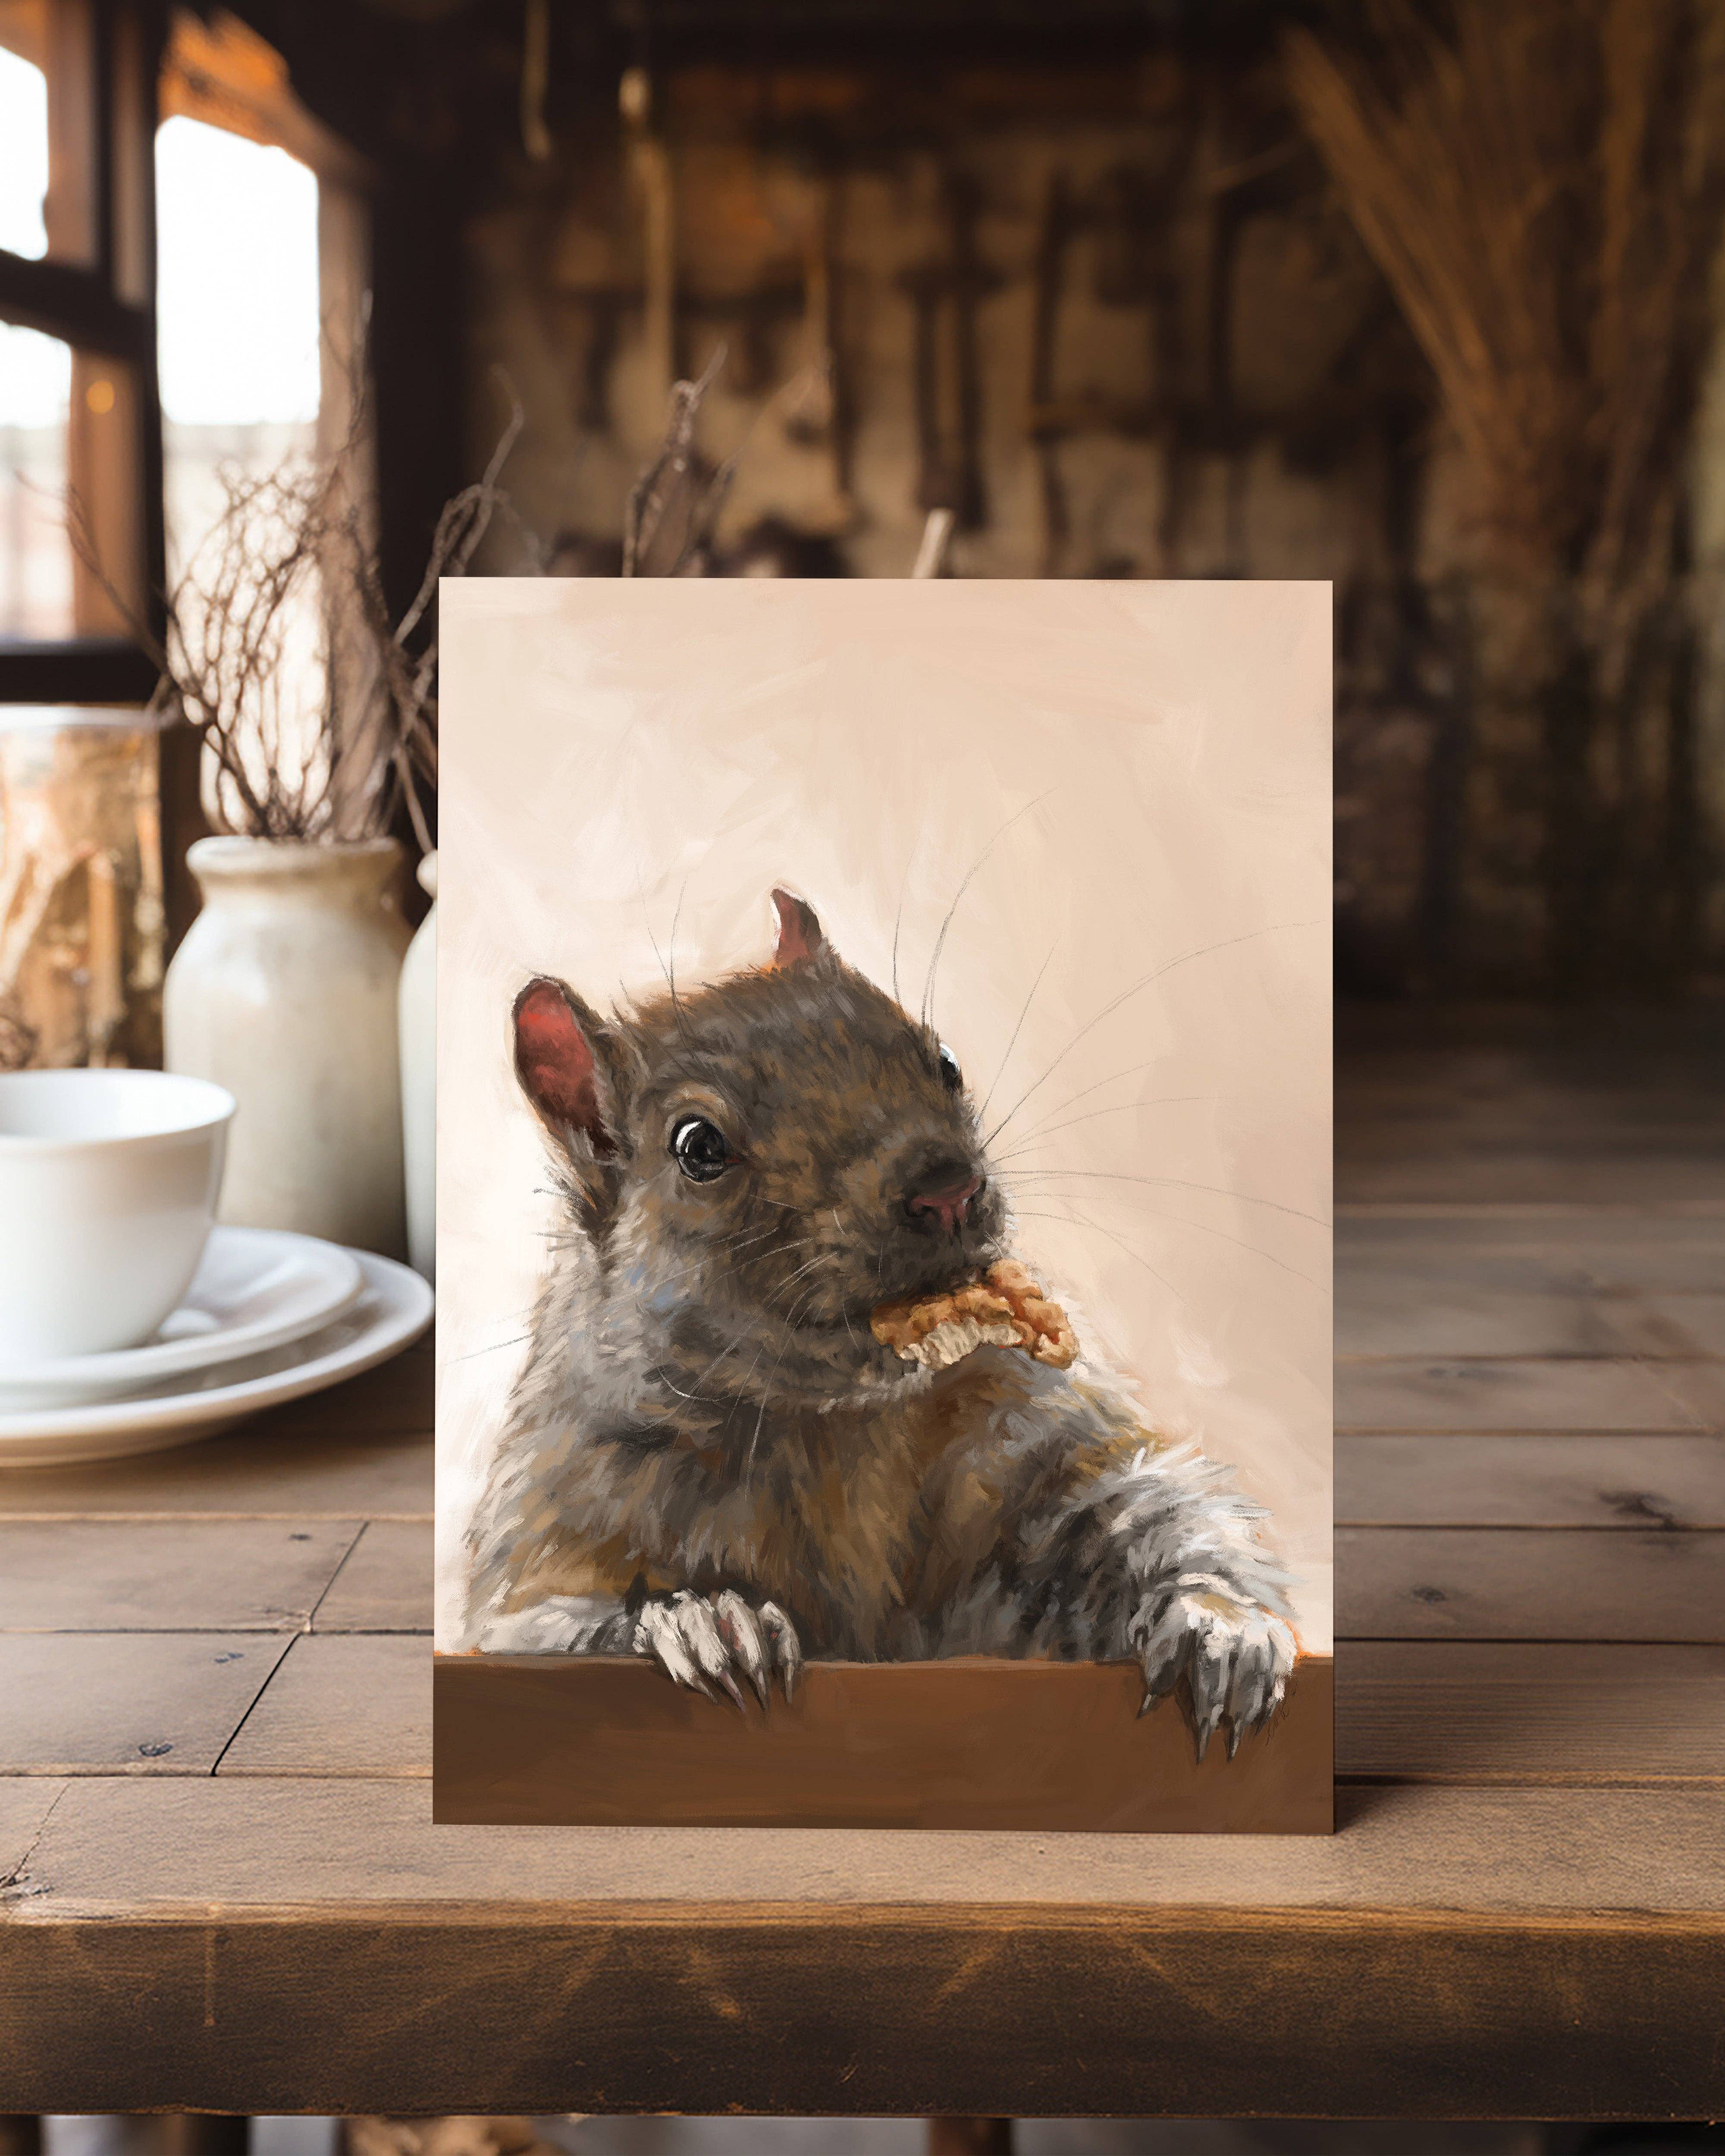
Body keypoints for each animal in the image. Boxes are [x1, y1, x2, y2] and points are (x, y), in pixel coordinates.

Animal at [466, 887, 1297, 1758]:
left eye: (946, 1061)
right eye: (698, 1146)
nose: (949, 1188)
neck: (833, 1424)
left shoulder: (1028, 1432)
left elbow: (1143, 1503)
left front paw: (1220, 1625)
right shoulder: (556, 1526)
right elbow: (541, 1625)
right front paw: (701, 1619)